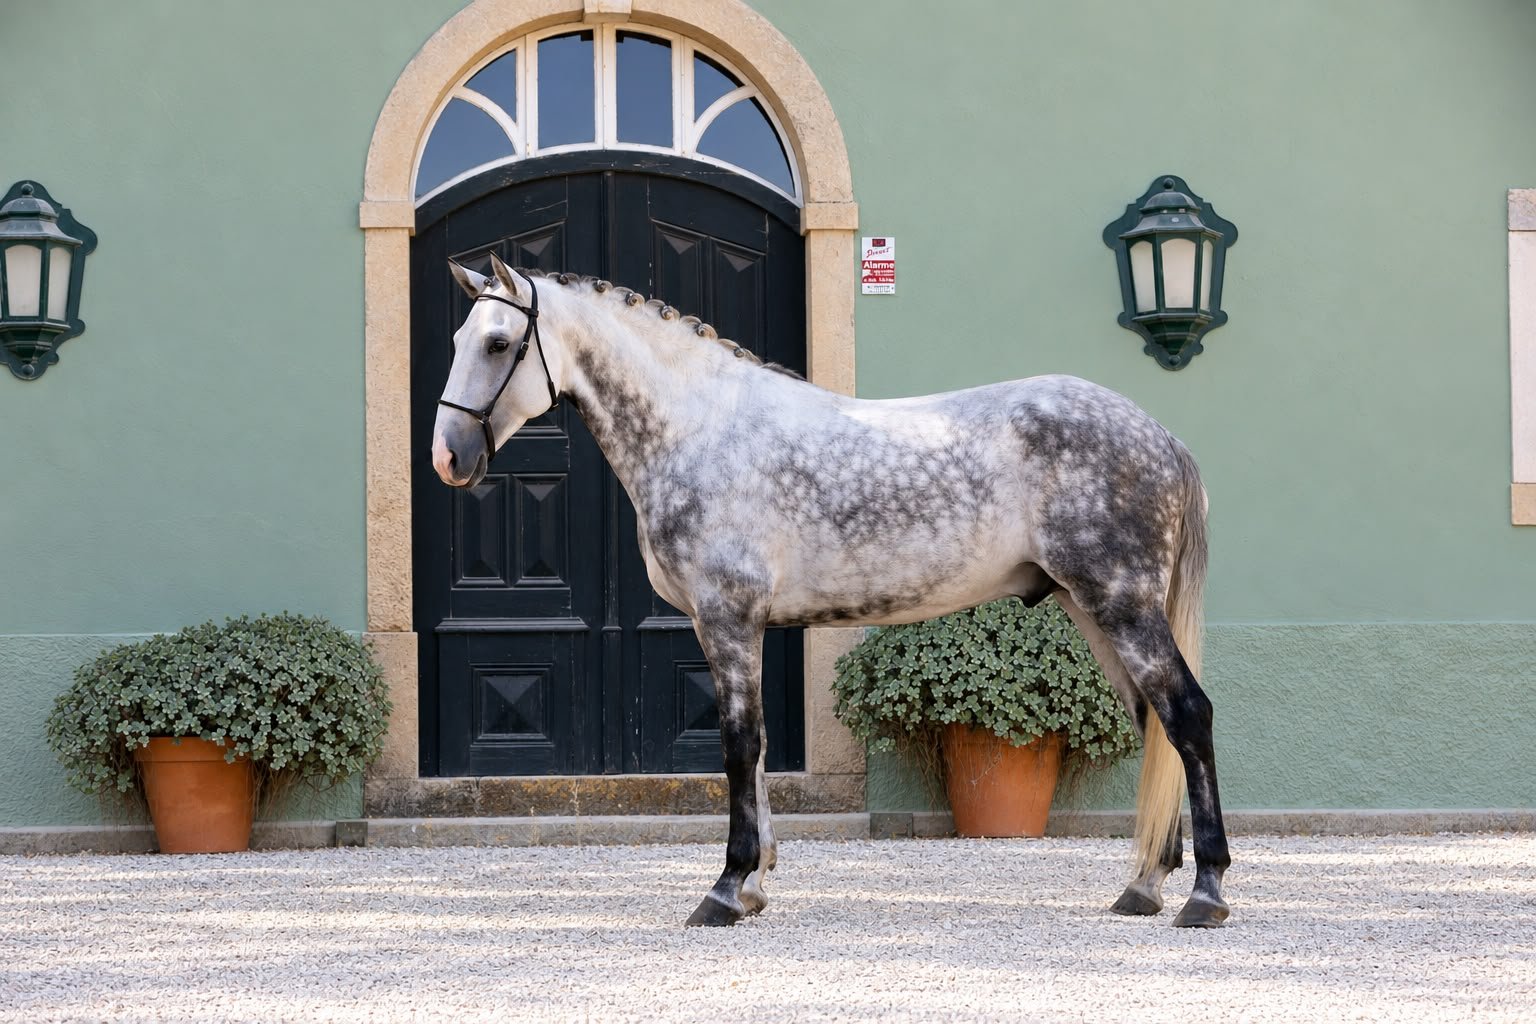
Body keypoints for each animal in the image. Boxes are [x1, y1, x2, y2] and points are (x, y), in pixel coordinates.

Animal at [430, 254, 1231, 929]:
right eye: (459, 336)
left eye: (499, 343)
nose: (449, 457)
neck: (701, 428)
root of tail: (1160, 435)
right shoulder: (729, 625)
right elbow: (752, 751)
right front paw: (755, 886)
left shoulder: (727, 618)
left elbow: (739, 746)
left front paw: (726, 889)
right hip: (1091, 606)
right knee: (1155, 722)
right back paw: (1143, 886)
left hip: (1122, 604)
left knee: (1188, 715)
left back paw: (1206, 893)